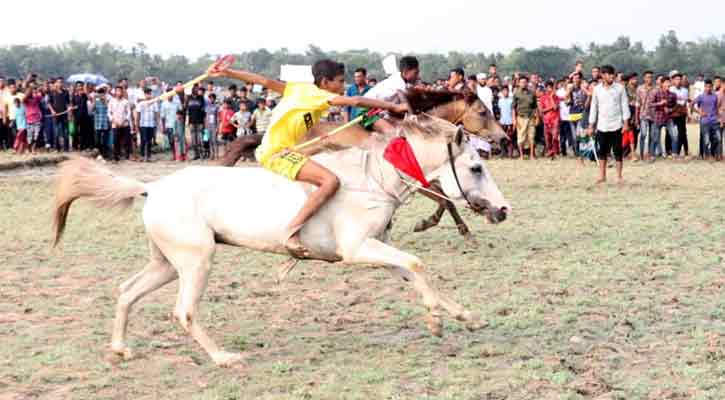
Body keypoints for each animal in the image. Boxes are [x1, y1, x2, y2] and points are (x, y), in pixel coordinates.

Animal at [52, 114, 510, 368]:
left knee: (127, 292)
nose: (503, 210)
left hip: (166, 263)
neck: (372, 178)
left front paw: (466, 317)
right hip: (196, 261)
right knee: (184, 311)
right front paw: (436, 320)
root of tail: (152, 188)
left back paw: (120, 349)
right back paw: (224, 358)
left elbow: (415, 272)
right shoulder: (358, 250)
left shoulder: (379, 249)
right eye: (475, 167)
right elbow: (416, 265)